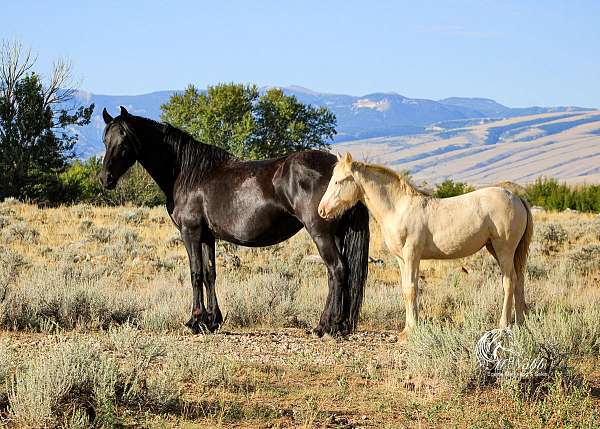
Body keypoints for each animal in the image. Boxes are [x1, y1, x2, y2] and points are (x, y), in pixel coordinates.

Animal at [99, 106, 370, 334]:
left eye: (125, 139)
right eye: (105, 139)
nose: (105, 179)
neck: (187, 173)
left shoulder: (190, 231)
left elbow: (195, 273)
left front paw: (194, 321)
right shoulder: (207, 236)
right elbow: (210, 274)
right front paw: (212, 321)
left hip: (320, 233)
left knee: (337, 270)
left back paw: (327, 326)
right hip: (335, 234)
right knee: (336, 274)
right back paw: (336, 324)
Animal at [318, 154, 536, 338]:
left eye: (339, 180)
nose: (321, 210)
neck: (399, 208)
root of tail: (516, 198)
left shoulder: (412, 255)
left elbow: (411, 289)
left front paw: (411, 330)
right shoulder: (402, 259)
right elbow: (407, 288)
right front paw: (408, 328)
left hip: (504, 249)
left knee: (509, 282)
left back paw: (503, 325)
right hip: (498, 250)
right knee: (519, 280)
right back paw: (520, 323)